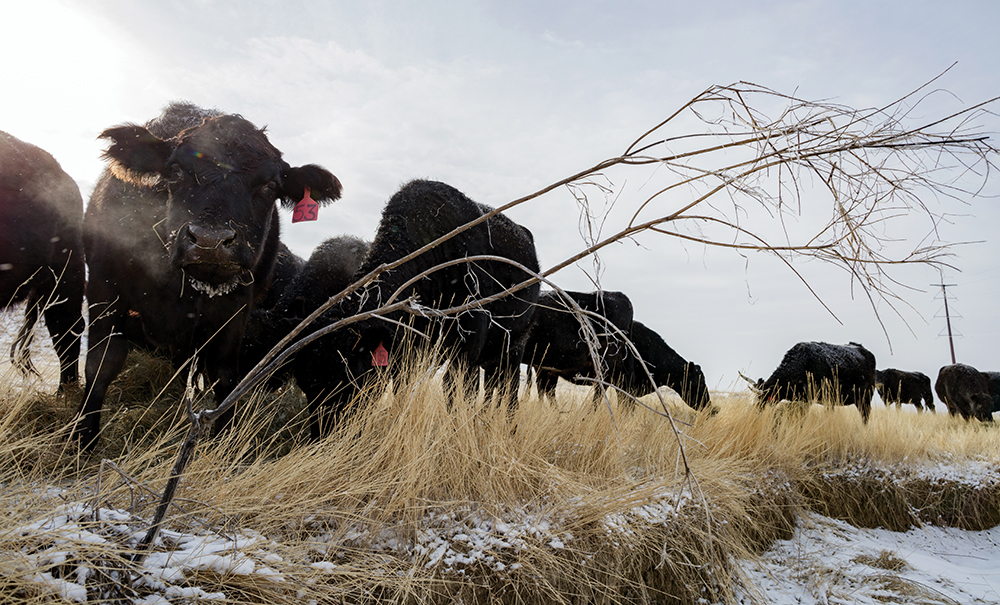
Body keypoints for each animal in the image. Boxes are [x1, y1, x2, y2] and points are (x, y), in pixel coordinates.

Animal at [75, 102, 342, 450]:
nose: (210, 241)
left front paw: (221, 440)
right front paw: (83, 441)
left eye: (270, 185)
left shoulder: (235, 310)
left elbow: (224, 375)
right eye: (176, 171)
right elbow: (100, 365)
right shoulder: (104, 289)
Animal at [288, 179, 540, 439]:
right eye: (306, 386)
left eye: (347, 383)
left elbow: (458, 392)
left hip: (514, 348)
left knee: (509, 392)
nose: (322, 438)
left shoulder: (468, 344)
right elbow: (403, 389)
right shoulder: (406, 350)